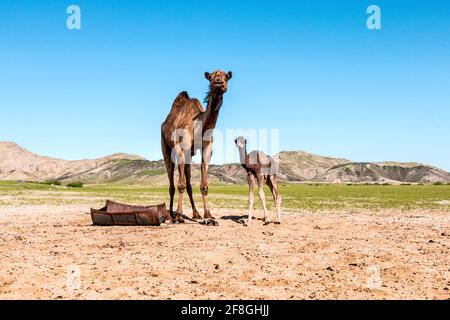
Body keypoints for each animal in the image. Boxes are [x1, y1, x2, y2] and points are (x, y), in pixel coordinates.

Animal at [161, 70, 232, 222]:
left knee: (188, 184)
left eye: (226, 77)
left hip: (189, 155)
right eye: (211, 77)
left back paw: (196, 214)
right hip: (165, 148)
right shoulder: (180, 147)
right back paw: (171, 215)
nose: (218, 81)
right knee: (172, 184)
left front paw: (208, 216)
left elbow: (203, 185)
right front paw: (179, 216)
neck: (198, 126)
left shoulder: (207, 148)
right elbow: (180, 184)